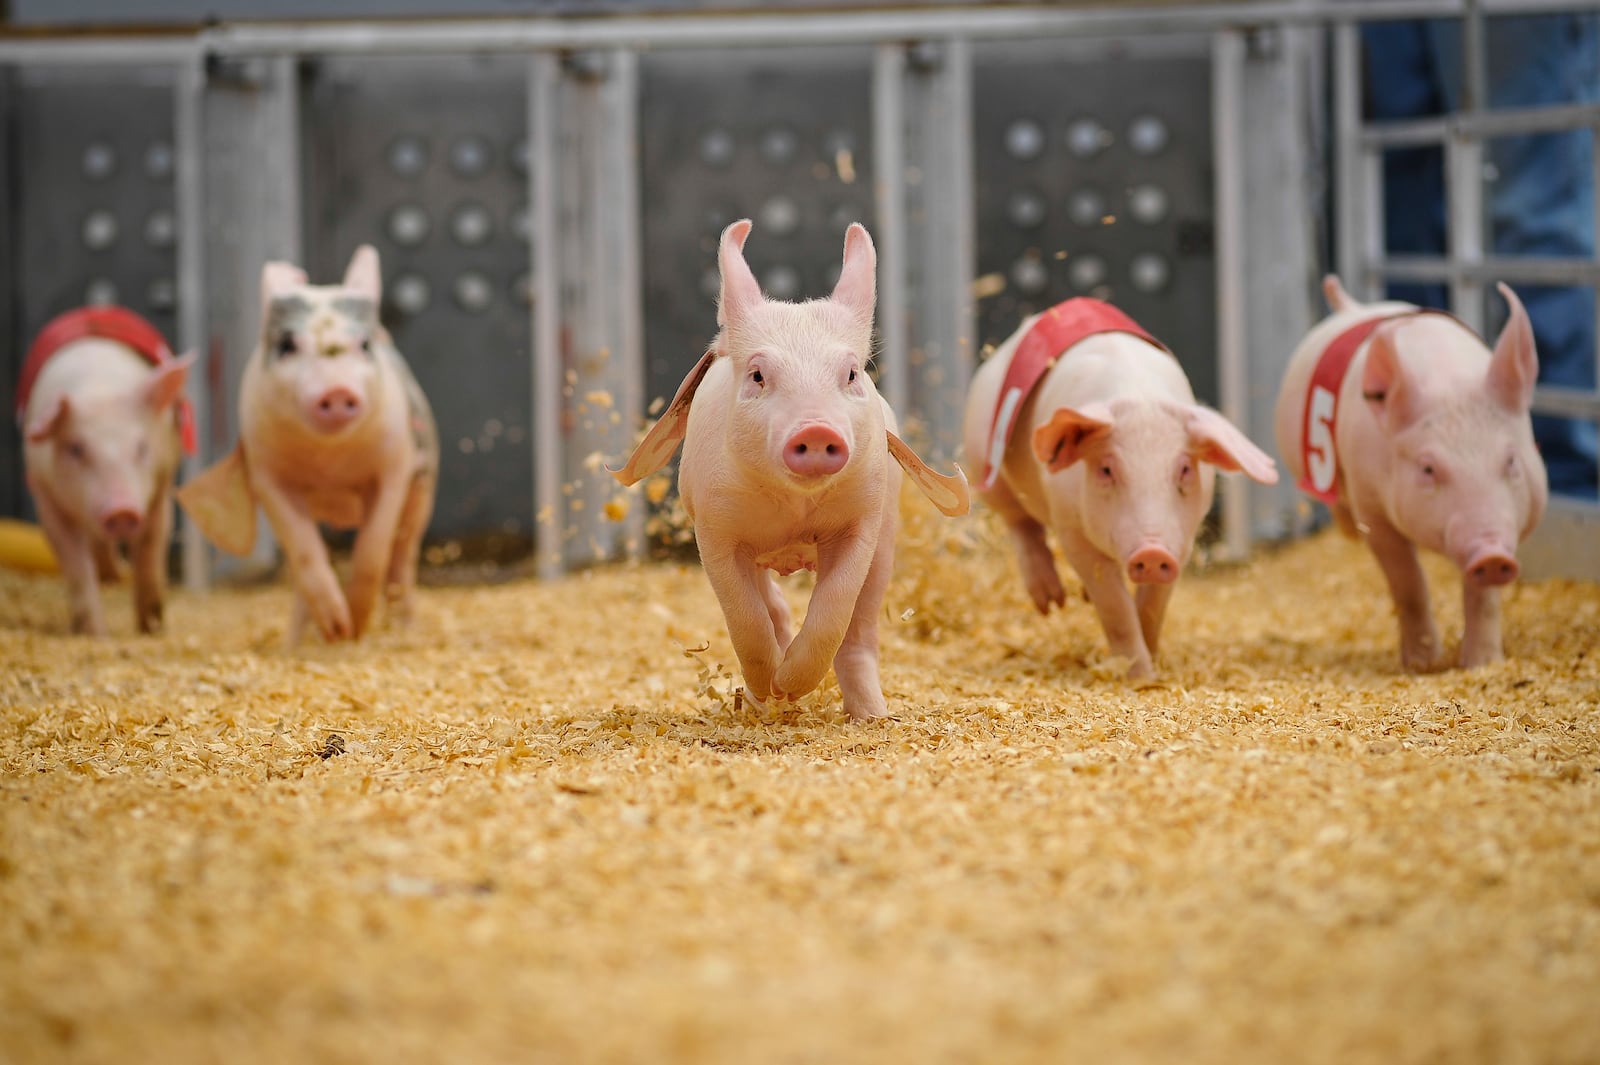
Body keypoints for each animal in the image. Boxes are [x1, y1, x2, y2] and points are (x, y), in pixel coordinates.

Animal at [18, 308, 196, 639]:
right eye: (76, 448)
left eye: (141, 447)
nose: (122, 510)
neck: (98, 386)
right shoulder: (44, 491)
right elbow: (75, 565)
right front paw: (95, 635)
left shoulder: (162, 480)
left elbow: (151, 545)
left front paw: (151, 628)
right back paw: (109, 576)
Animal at [178, 246, 438, 639]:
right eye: (287, 345)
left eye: (363, 345)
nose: (338, 390)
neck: (329, 463)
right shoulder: (266, 474)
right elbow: (304, 550)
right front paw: (338, 628)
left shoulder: (396, 464)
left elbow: (373, 548)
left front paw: (356, 624)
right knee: (302, 574)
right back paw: (299, 640)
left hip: (422, 492)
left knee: (401, 561)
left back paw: (405, 632)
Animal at [608, 219, 960, 716]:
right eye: (758, 375)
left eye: (851, 374)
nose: (815, 429)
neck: (795, 510)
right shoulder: (714, 527)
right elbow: (745, 616)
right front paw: (773, 687)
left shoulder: (863, 517)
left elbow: (834, 607)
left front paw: (792, 686)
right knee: (772, 605)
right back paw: (762, 700)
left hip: (887, 539)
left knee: (861, 626)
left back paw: (873, 715)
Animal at [953, 295, 1280, 681]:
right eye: (1107, 469)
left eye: (1185, 469)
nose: (1151, 552)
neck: (1137, 398)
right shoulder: (1070, 528)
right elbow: (1114, 605)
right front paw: (1138, 676)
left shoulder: (1182, 537)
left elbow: (1152, 605)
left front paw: (1152, 665)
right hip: (983, 456)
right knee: (1019, 523)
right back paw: (1051, 602)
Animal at [1267, 278, 1542, 668]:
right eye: (1428, 468)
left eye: (1511, 461)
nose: (1492, 556)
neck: (1447, 378)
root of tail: (1351, 306)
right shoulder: (1372, 508)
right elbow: (1409, 583)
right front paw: (1422, 664)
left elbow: (1483, 598)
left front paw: (1483, 664)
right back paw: (1347, 530)